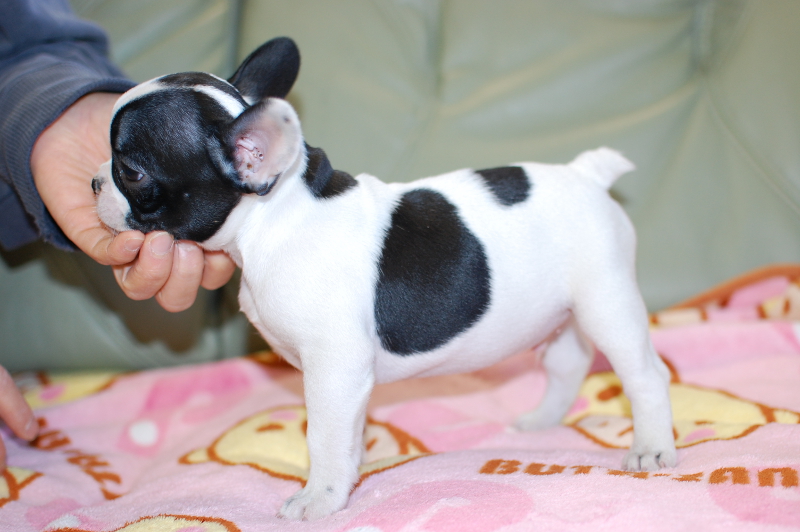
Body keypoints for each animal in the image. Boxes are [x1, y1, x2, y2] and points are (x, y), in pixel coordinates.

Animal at [97, 39, 680, 520]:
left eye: (130, 170)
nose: (94, 180)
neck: (276, 215)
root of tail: (587, 174)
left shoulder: (333, 369)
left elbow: (324, 436)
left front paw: (320, 499)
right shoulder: (348, 380)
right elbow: (348, 434)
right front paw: (348, 478)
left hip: (606, 299)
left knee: (645, 374)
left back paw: (652, 447)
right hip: (560, 311)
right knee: (569, 362)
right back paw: (541, 422)